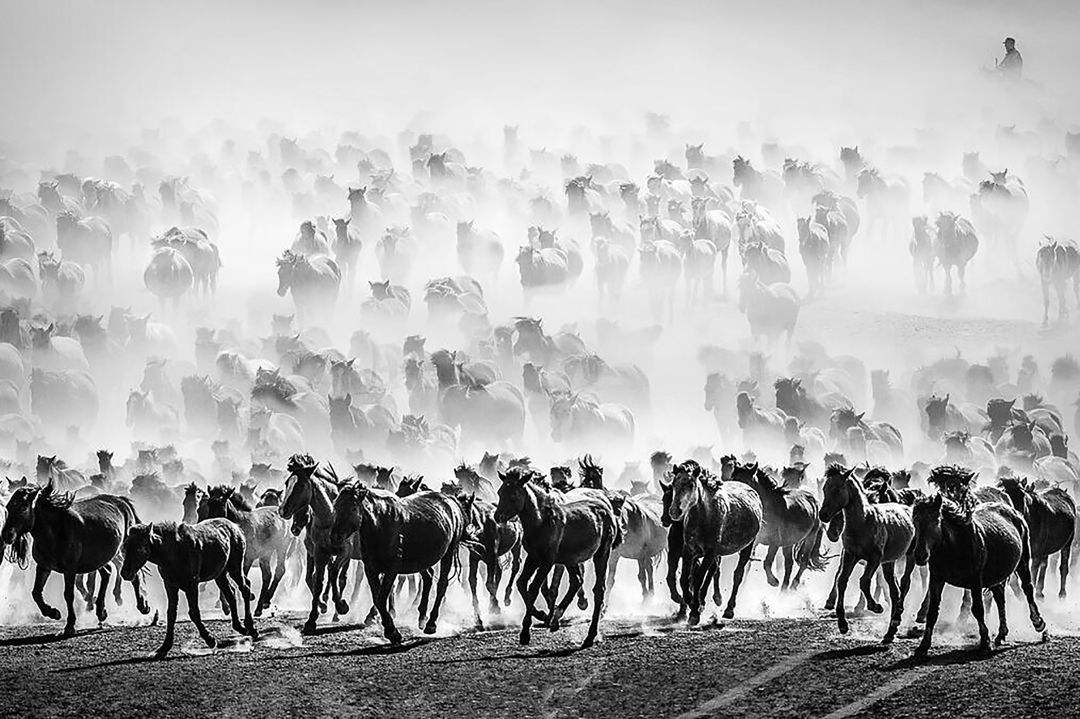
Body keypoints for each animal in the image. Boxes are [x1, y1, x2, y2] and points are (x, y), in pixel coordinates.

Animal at [120, 520, 256, 658]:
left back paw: (250, 627)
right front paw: (164, 647)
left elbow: (194, 613)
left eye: (138, 548)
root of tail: (235, 527)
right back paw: (240, 627)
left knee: (245, 589)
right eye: (125, 546)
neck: (173, 551)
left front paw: (210, 640)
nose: (125, 573)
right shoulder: (170, 585)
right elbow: (171, 614)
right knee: (231, 594)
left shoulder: (192, 585)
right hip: (220, 574)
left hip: (235, 568)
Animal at [494, 467, 620, 647]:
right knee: (576, 581)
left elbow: (533, 588)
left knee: (598, 590)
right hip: (571, 559)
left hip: (602, 553)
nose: (498, 516)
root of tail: (607, 511)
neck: (541, 522)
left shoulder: (547, 561)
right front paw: (542, 615)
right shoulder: (533, 558)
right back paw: (556, 618)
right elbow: (521, 584)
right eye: (500, 492)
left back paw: (589, 636)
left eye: (514, 494)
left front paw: (525, 633)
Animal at [818, 464, 914, 643]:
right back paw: (890, 631)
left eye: (837, 488)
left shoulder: (874, 559)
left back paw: (896, 618)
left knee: (904, 583)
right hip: (888, 563)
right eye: (825, 488)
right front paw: (842, 624)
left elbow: (864, 581)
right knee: (894, 590)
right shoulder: (850, 555)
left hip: (910, 556)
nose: (823, 515)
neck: (863, 521)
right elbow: (841, 580)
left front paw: (875, 606)